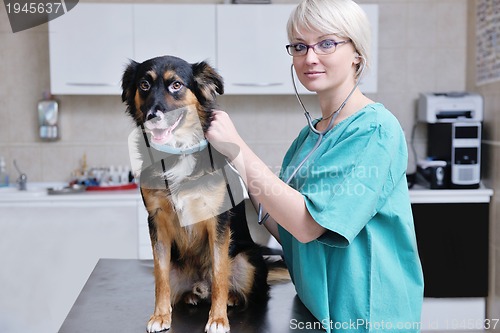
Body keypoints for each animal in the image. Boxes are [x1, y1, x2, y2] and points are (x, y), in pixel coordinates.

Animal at [120, 55, 284, 330]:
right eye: (144, 84)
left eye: (176, 85)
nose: (153, 116)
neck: (176, 153)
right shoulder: (157, 220)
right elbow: (160, 277)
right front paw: (160, 316)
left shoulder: (217, 219)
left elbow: (219, 274)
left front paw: (218, 319)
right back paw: (191, 296)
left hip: (247, 260)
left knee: (248, 291)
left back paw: (231, 298)